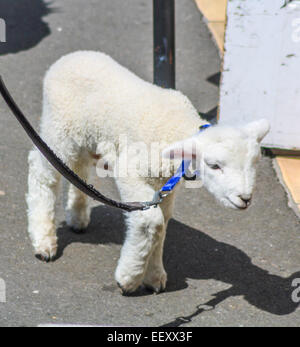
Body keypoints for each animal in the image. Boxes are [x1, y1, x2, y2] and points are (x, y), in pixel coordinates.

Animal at [27, 51, 270, 294]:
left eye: (254, 162)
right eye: (214, 165)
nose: (245, 198)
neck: (177, 129)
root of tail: (70, 57)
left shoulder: (163, 186)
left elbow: (163, 223)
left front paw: (153, 275)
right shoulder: (131, 171)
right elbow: (151, 222)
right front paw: (129, 278)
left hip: (86, 137)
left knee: (78, 169)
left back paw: (77, 217)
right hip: (58, 129)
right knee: (42, 174)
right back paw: (44, 241)